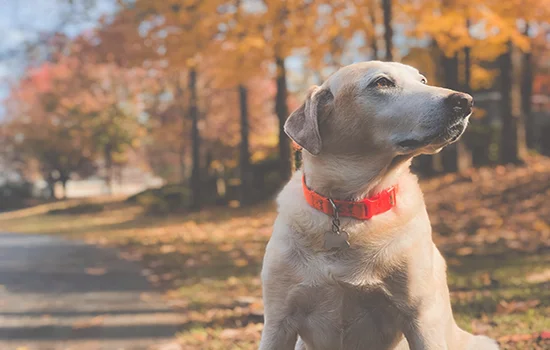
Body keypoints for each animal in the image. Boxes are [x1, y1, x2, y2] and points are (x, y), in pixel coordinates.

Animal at [258, 62, 500, 350]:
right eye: (382, 82)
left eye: (422, 80)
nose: (465, 101)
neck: (350, 205)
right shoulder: (278, 321)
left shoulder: (420, 317)